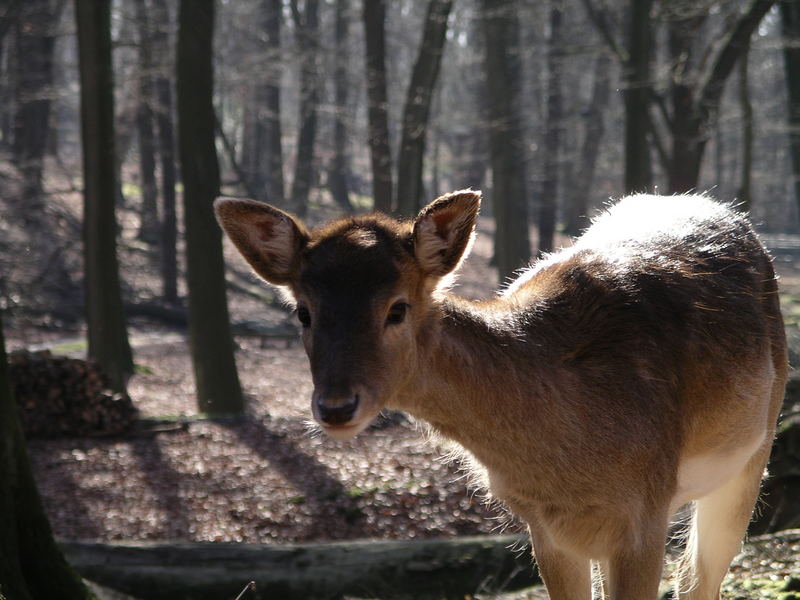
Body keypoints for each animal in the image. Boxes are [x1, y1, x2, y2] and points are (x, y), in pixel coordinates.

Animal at [214, 191, 788, 600]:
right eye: (303, 311)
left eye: (397, 308)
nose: (335, 407)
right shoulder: (546, 525)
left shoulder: (645, 506)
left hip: (753, 455)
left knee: (699, 579)